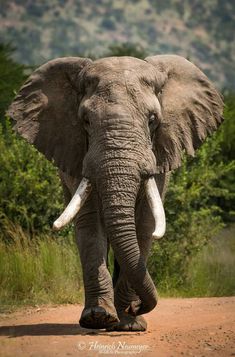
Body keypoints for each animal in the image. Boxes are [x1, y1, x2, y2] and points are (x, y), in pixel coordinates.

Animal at [8, 54, 223, 330]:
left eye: (152, 120)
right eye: (86, 121)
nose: (138, 306)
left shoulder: (159, 155)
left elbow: (145, 224)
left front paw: (130, 324)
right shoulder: (78, 152)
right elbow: (90, 224)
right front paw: (97, 318)